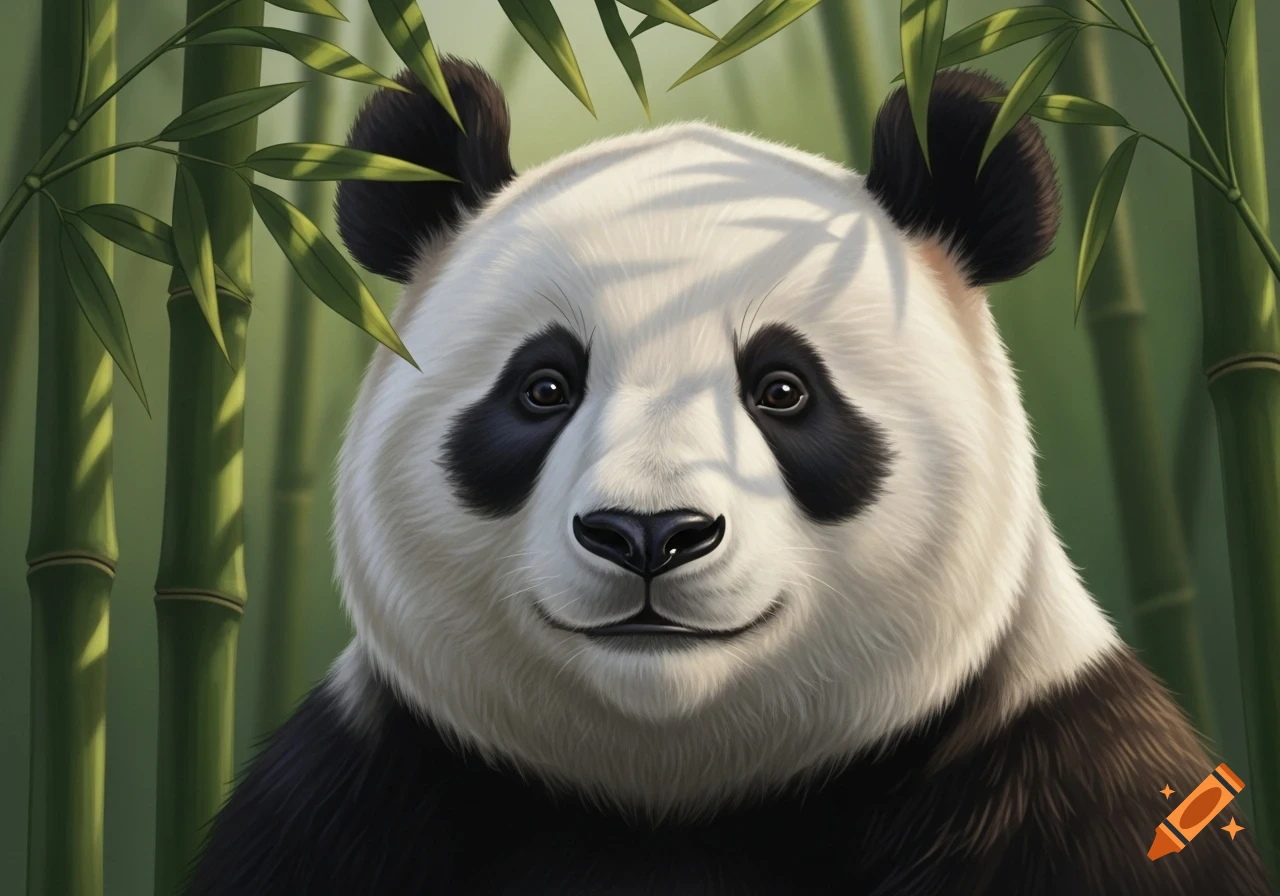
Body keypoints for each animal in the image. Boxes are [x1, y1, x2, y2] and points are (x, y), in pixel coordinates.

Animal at [185, 58, 1271, 895]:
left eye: (782, 389)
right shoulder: (357, 801)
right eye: (544, 386)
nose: (649, 533)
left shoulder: (1061, 789)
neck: (676, 792)